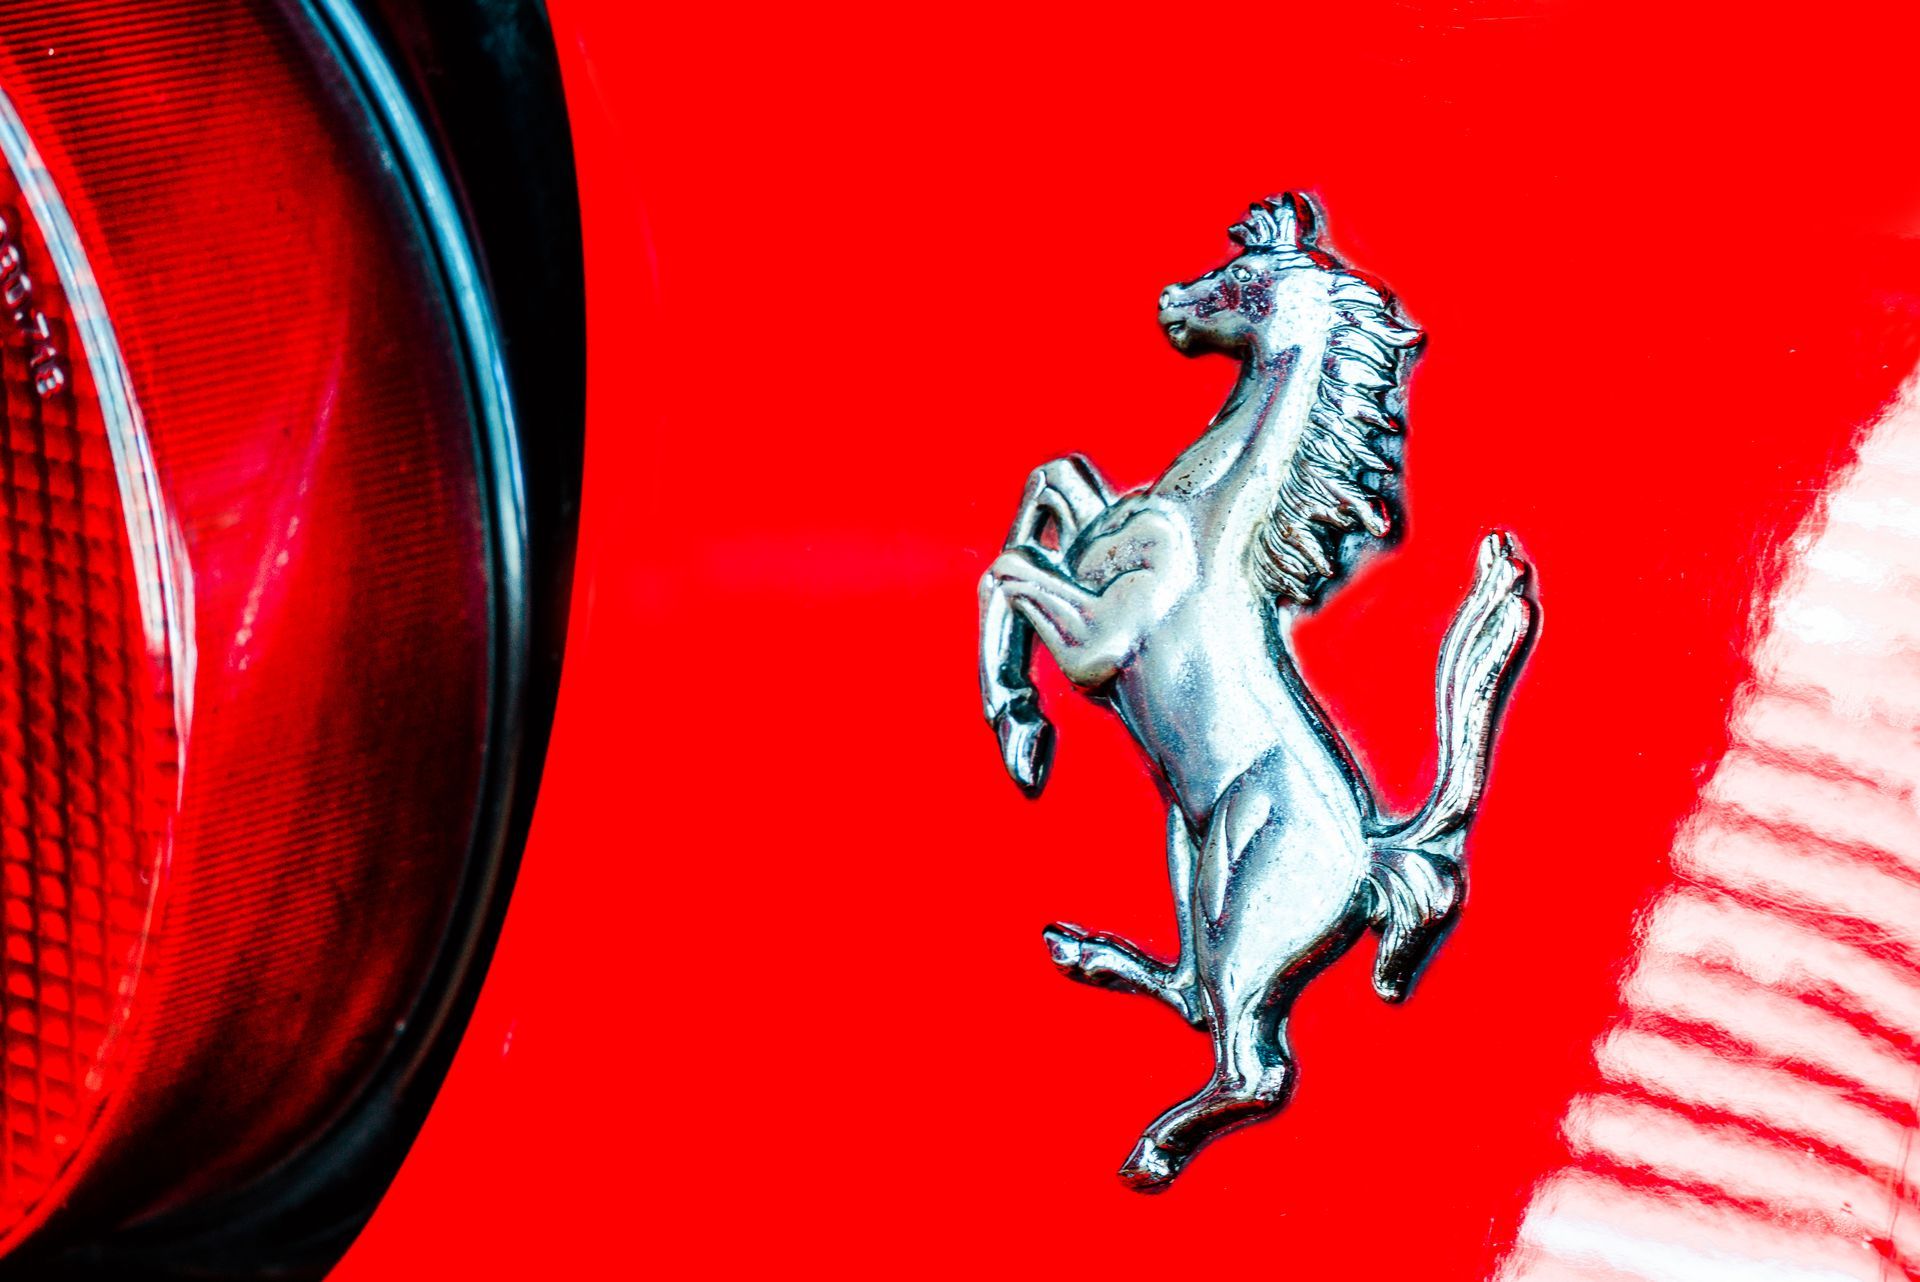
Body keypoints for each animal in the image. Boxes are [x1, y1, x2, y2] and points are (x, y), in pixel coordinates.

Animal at [977, 193, 1536, 1190]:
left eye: (1243, 278)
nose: (1168, 301)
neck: (1211, 518)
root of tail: (1373, 854)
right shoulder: (1089, 545)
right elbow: (1053, 482)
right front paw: (1021, 731)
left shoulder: (1099, 647)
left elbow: (1006, 568)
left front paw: (1023, 734)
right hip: (1192, 849)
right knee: (1192, 997)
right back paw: (1084, 955)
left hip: (1248, 905)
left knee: (1254, 1065)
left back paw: (1155, 1149)